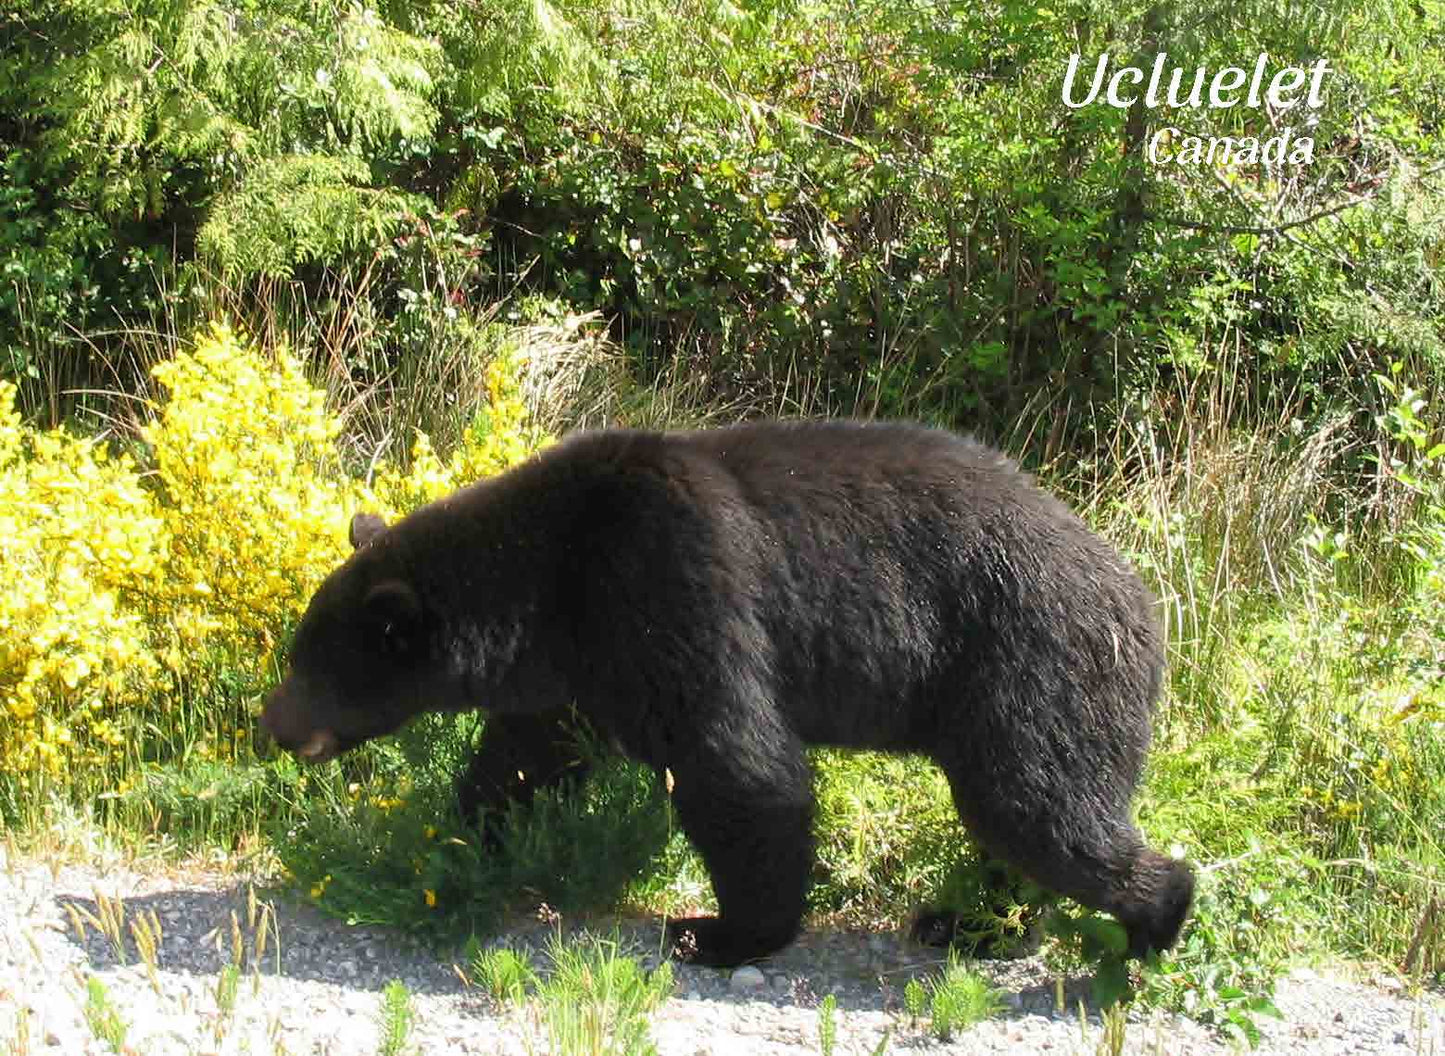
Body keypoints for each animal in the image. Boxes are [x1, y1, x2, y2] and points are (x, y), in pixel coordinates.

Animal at [262, 418, 1196, 964]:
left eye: (311, 665)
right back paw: (964, 924)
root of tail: (1147, 608)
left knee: (1036, 807)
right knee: (1021, 822)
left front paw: (718, 931)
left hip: (1034, 667)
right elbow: (524, 755)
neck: (549, 581)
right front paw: (456, 844)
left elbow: (738, 767)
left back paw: (1150, 924)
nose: (271, 722)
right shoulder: (582, 665)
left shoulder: (671, 580)